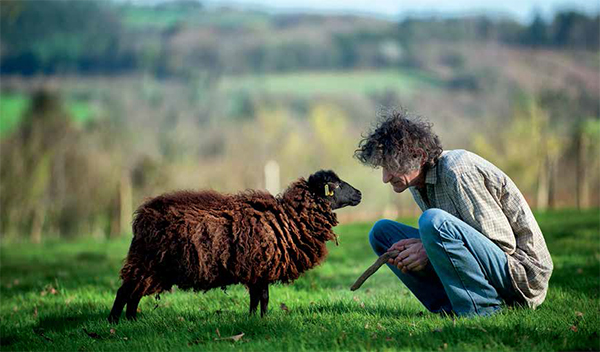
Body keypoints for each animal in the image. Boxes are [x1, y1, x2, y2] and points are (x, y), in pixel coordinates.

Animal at [108, 169, 360, 324]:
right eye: (336, 185)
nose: (359, 193)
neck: (288, 219)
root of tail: (142, 216)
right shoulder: (262, 267)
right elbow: (264, 298)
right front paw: (264, 320)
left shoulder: (257, 271)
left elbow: (256, 298)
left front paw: (252, 319)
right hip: (146, 262)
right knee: (125, 292)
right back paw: (115, 323)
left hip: (153, 268)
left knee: (134, 294)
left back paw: (132, 321)